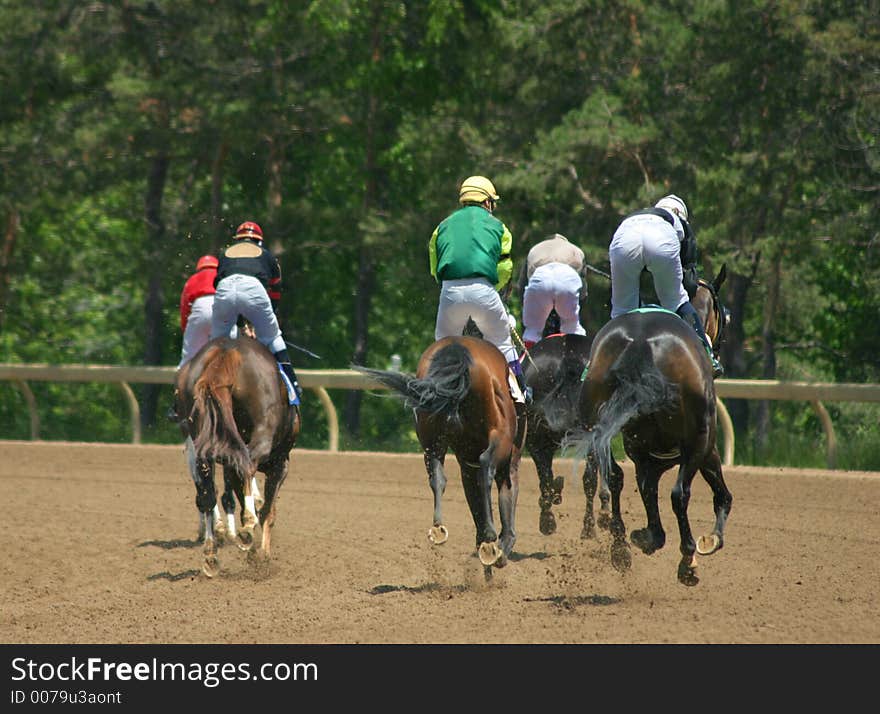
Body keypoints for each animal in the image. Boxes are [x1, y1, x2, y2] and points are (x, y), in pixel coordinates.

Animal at [174, 332, 300, 572]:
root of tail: (225, 354)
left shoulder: (228, 464)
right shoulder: (280, 463)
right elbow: (268, 510)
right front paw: (261, 555)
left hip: (198, 437)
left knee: (206, 491)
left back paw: (211, 553)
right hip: (262, 433)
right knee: (247, 464)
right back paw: (246, 527)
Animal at [354, 336, 524, 576]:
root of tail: (458, 349)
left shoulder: (465, 462)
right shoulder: (507, 458)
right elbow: (505, 492)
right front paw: (500, 547)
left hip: (431, 437)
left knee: (437, 477)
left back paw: (439, 528)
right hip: (500, 438)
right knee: (486, 469)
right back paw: (491, 540)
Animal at [520, 330, 608, 536]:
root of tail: (567, 357)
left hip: (536, 436)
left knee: (546, 478)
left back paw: (549, 519)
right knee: (588, 479)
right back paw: (586, 527)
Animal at [568, 262, 732, 584]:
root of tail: (640, 345)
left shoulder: (648, 456)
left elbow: (647, 493)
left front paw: (643, 537)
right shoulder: (706, 447)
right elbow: (721, 495)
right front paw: (711, 541)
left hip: (602, 426)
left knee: (614, 475)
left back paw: (621, 548)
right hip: (697, 438)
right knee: (680, 494)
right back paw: (687, 560)